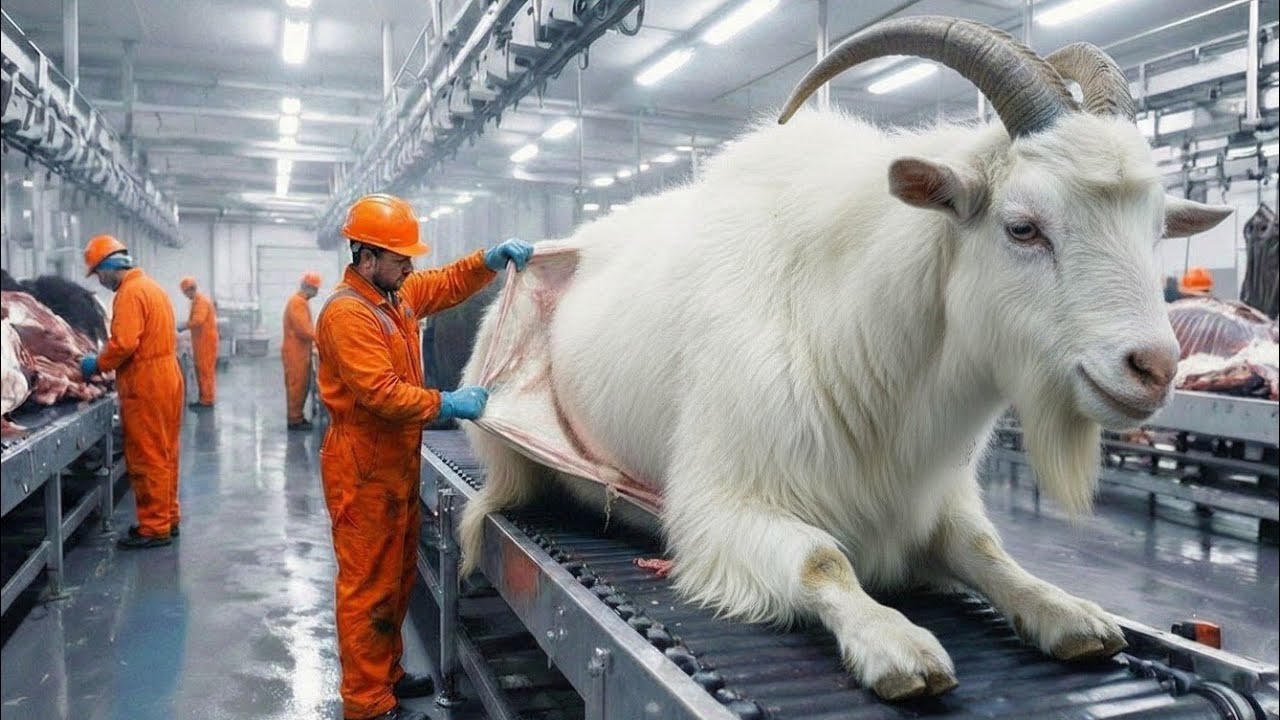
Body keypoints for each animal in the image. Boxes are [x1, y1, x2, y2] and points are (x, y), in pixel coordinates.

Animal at [458, 17, 1232, 700]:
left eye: (1158, 229)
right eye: (1022, 227)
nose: (1155, 367)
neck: (846, 321)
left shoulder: (929, 498)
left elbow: (987, 552)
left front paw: (1069, 612)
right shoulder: (720, 504)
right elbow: (822, 557)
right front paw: (897, 646)